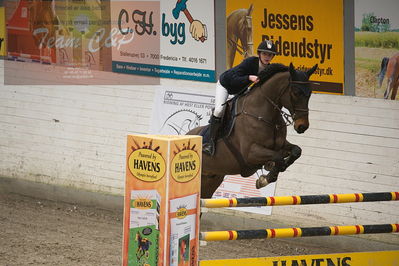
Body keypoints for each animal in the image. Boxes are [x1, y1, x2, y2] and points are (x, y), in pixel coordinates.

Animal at [188, 62, 318, 198]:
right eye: (296, 92)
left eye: (310, 93)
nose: (302, 126)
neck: (266, 115)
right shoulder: (250, 153)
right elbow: (278, 158)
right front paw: (265, 179)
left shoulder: (280, 145)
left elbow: (296, 151)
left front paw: (270, 171)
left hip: (212, 179)